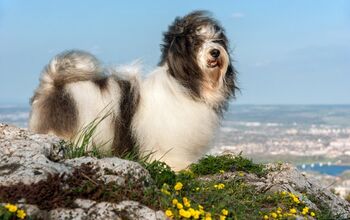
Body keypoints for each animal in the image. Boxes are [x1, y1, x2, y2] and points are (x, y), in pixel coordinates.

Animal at [29, 10, 238, 170]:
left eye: (216, 40)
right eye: (195, 42)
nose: (215, 52)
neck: (184, 85)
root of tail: (54, 84)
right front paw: (178, 167)